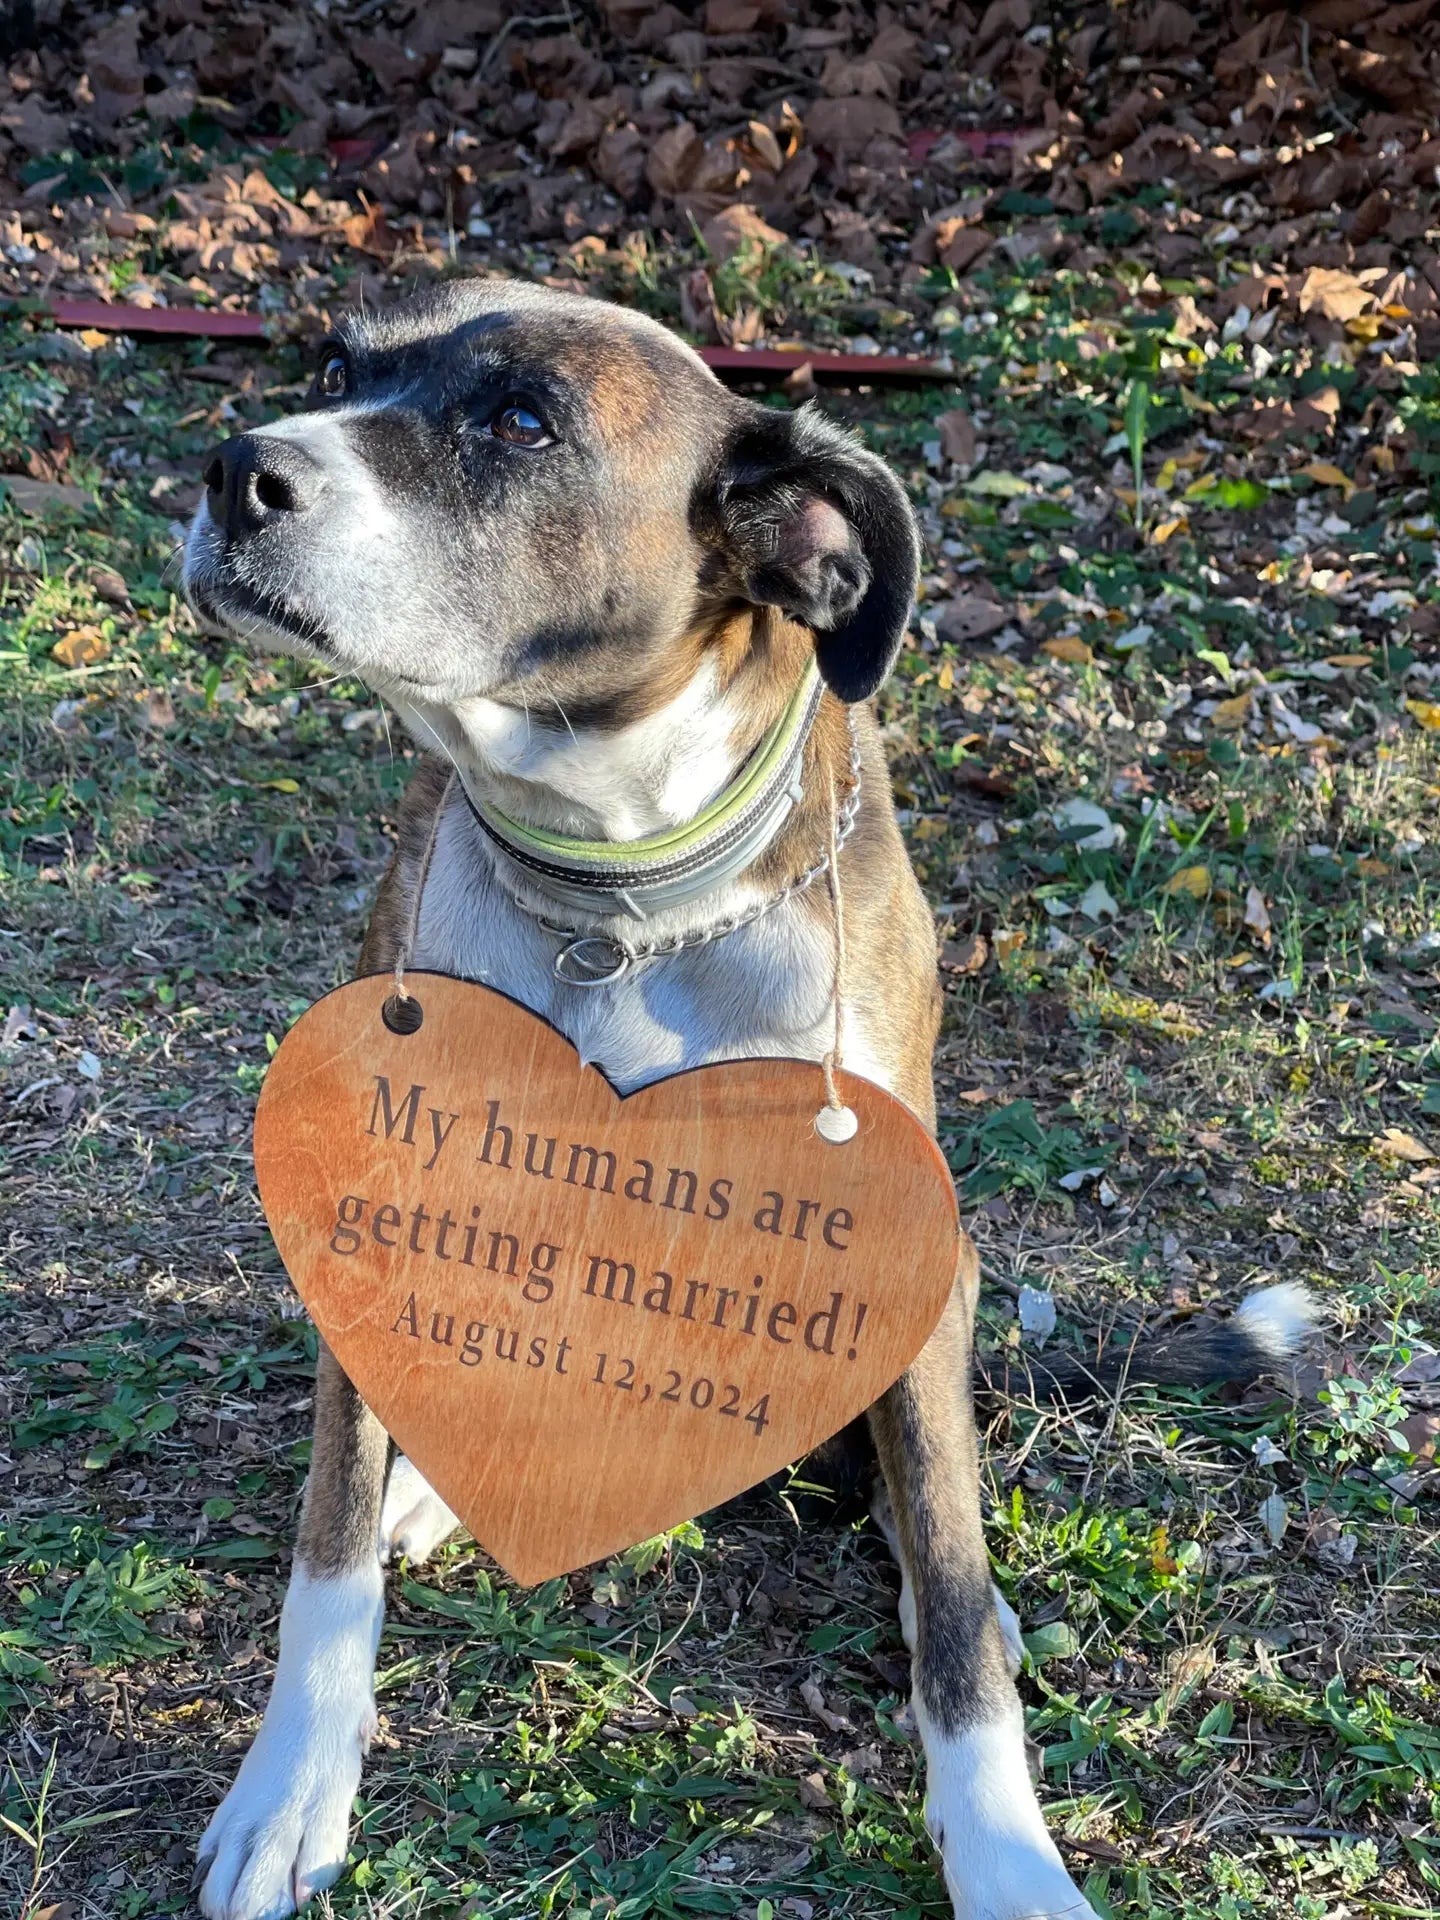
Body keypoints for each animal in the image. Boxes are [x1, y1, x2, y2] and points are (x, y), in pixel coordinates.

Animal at [183, 280, 1320, 1920]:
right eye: (340, 365)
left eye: (519, 422)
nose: (232, 472)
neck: (620, 891)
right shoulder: (383, 1199)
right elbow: (326, 1552)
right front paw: (289, 1791)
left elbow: (957, 1614)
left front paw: (1006, 1851)